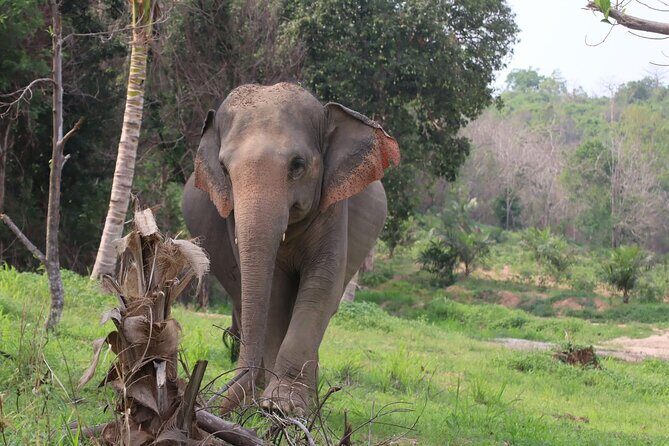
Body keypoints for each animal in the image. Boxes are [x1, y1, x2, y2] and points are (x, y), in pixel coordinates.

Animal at [182, 82, 399, 416]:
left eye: (298, 165)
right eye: (223, 169)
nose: (210, 404)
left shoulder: (333, 209)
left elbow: (321, 284)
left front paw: (283, 406)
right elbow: (275, 291)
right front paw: (268, 403)